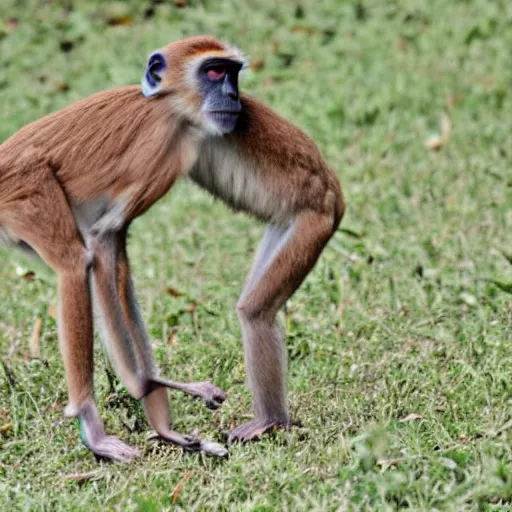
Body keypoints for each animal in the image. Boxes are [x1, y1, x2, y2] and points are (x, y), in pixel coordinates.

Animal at [0, 34, 346, 462]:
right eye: (214, 72)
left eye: (232, 73)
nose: (233, 94)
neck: (167, 103)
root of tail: (334, 198)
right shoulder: (164, 141)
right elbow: (103, 243)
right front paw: (151, 394)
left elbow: (111, 245)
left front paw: (154, 394)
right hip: (27, 189)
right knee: (74, 263)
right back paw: (93, 426)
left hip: (307, 226)